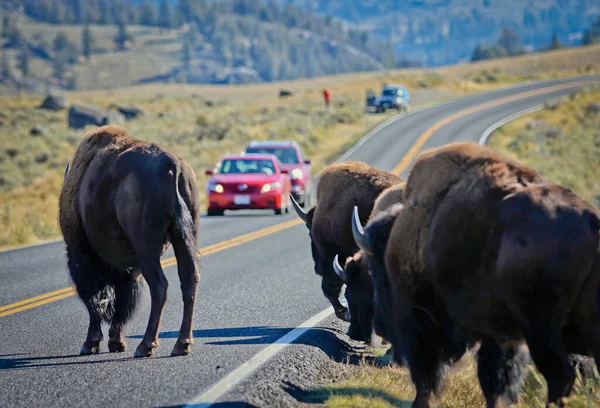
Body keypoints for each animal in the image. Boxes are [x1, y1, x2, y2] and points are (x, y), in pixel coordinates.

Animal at [58, 124, 200, 356]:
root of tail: (171, 164)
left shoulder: (81, 256)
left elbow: (94, 300)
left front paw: (91, 344)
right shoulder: (128, 268)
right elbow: (123, 300)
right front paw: (116, 342)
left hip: (146, 249)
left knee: (159, 286)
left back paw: (145, 346)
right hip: (184, 238)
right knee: (189, 280)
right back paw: (181, 344)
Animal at [352, 141, 600, 408]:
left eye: (376, 269)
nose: (380, 327)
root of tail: (591, 222)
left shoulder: (422, 319)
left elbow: (428, 374)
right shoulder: (500, 335)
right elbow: (495, 380)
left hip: (542, 329)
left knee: (560, 376)